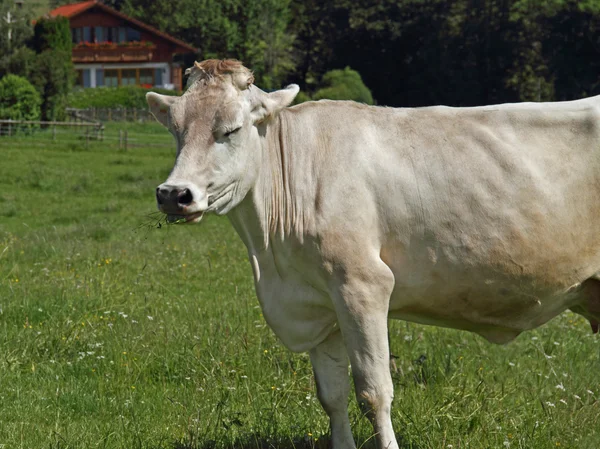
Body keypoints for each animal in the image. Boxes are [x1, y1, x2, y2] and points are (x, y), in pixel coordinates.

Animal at [149, 59, 600, 448]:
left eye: (231, 129)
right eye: (175, 129)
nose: (174, 194)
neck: (271, 259)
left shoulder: (362, 286)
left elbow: (374, 392)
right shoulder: (319, 303)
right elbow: (331, 395)